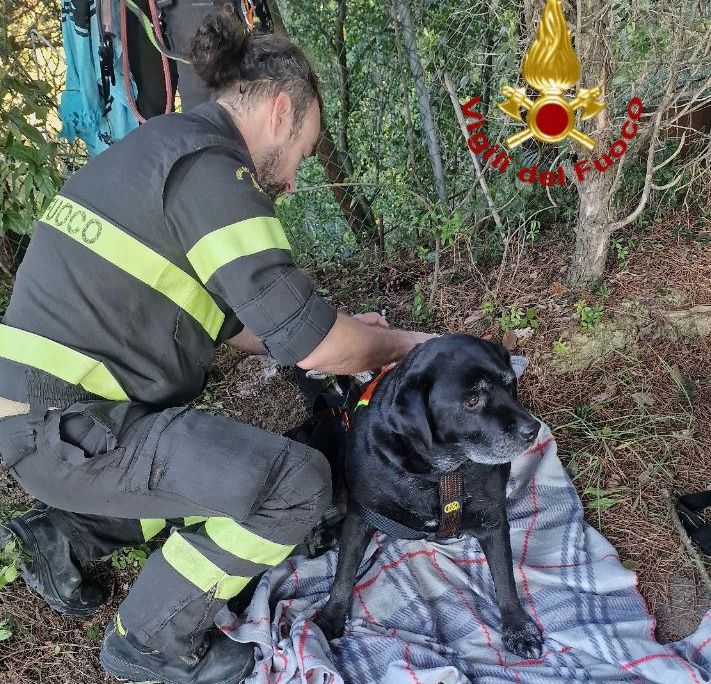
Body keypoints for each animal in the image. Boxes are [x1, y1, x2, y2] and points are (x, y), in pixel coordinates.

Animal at [312, 333, 544, 660]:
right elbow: (343, 574)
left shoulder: (493, 520)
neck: (443, 472)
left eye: (510, 384)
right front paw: (331, 616)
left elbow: (505, 578)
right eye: (472, 400)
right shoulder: (362, 514)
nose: (532, 429)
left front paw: (518, 627)